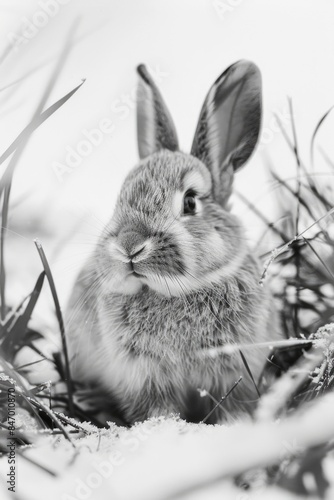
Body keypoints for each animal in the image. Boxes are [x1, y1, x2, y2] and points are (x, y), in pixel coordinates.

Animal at [65, 60, 280, 424]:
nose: (129, 245)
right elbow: (157, 411)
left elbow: (232, 408)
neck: (176, 292)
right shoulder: (143, 375)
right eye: (120, 198)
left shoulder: (234, 370)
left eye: (190, 202)